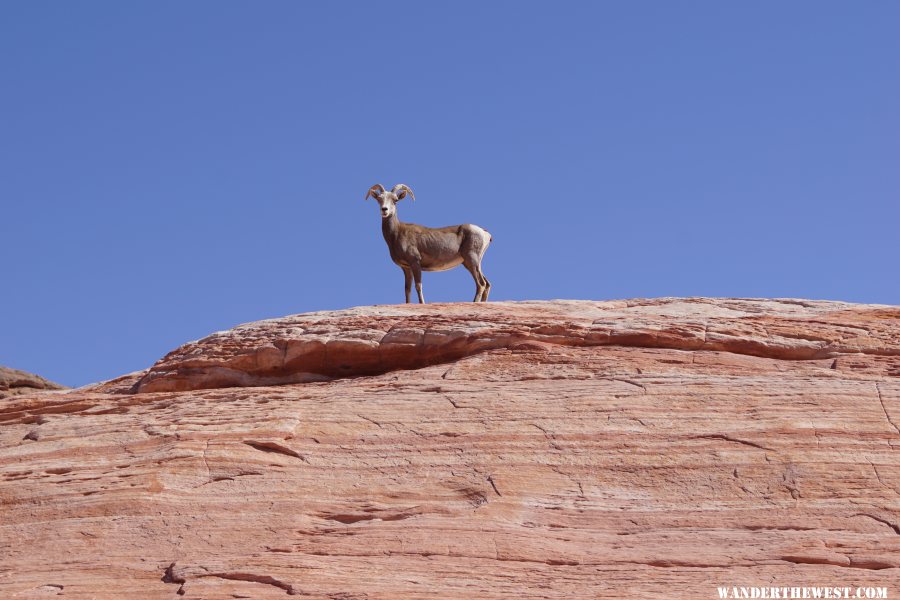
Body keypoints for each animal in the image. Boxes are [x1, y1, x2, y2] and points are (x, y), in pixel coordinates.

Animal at [364, 183, 492, 304]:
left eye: (395, 200)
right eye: (379, 199)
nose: (384, 209)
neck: (396, 234)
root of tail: (485, 233)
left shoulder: (415, 262)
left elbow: (418, 286)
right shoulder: (406, 268)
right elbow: (407, 289)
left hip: (471, 260)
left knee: (481, 284)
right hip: (472, 263)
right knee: (487, 283)